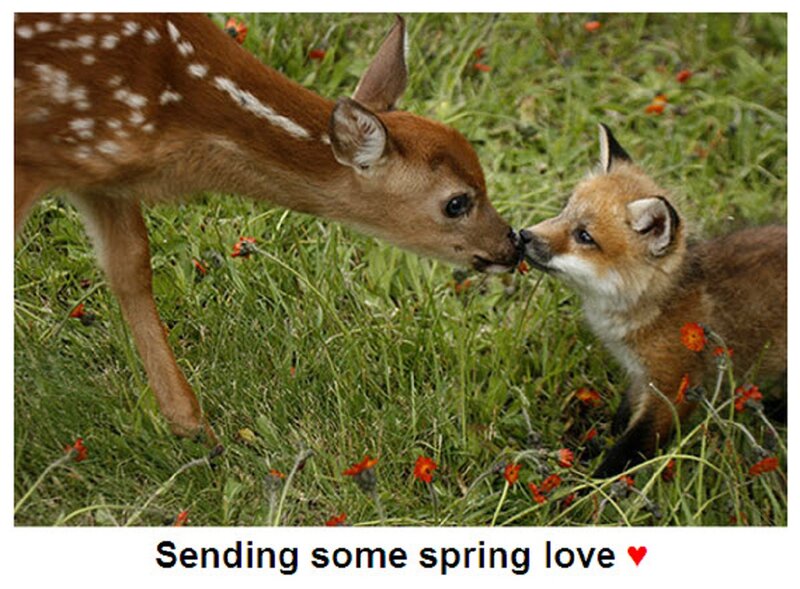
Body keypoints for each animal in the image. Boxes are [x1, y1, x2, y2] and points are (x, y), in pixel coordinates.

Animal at [519, 124, 786, 477]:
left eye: (584, 236)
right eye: (565, 210)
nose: (522, 235)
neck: (656, 307)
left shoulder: (674, 387)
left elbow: (631, 445)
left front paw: (594, 484)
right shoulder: (639, 377)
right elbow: (620, 423)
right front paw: (591, 451)